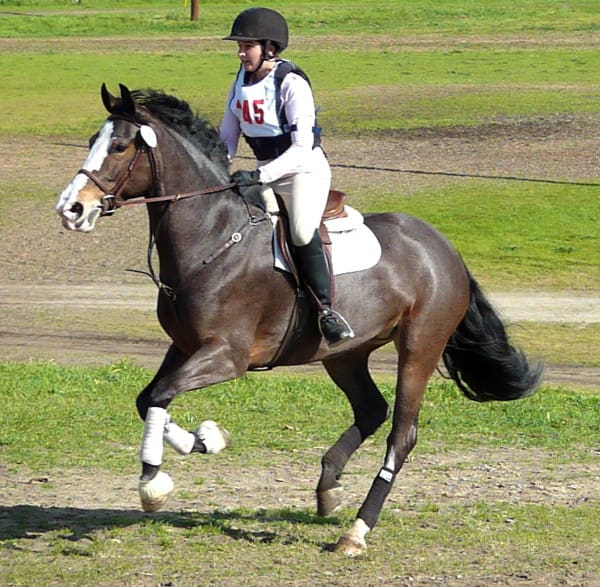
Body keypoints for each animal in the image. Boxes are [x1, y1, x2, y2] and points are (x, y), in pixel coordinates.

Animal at [57, 82, 544, 556]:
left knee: (400, 436)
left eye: (119, 146)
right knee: (371, 409)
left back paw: (357, 531)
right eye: (92, 139)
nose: (71, 209)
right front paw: (205, 440)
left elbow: (159, 395)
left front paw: (153, 481)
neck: (213, 237)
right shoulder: (184, 346)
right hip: (344, 353)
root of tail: (443, 248)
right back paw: (328, 488)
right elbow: (148, 398)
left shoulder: (227, 356)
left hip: (419, 347)